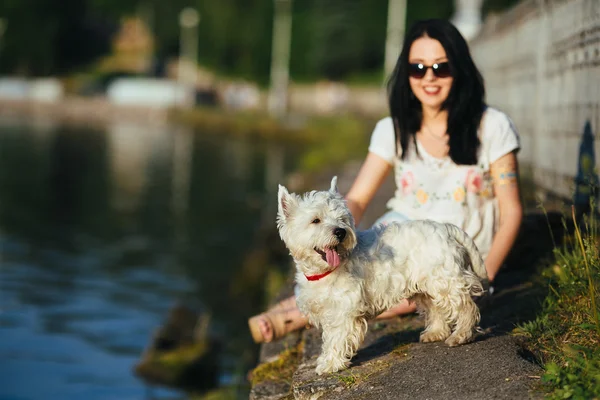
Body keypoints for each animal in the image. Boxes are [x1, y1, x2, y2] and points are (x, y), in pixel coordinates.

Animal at [276, 177, 488, 374]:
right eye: (315, 220)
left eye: (342, 219)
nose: (340, 232)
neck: (324, 271)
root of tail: (446, 228)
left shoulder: (343, 311)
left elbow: (336, 338)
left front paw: (329, 364)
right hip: (426, 286)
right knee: (435, 308)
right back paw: (435, 333)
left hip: (444, 281)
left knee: (465, 306)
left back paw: (461, 335)